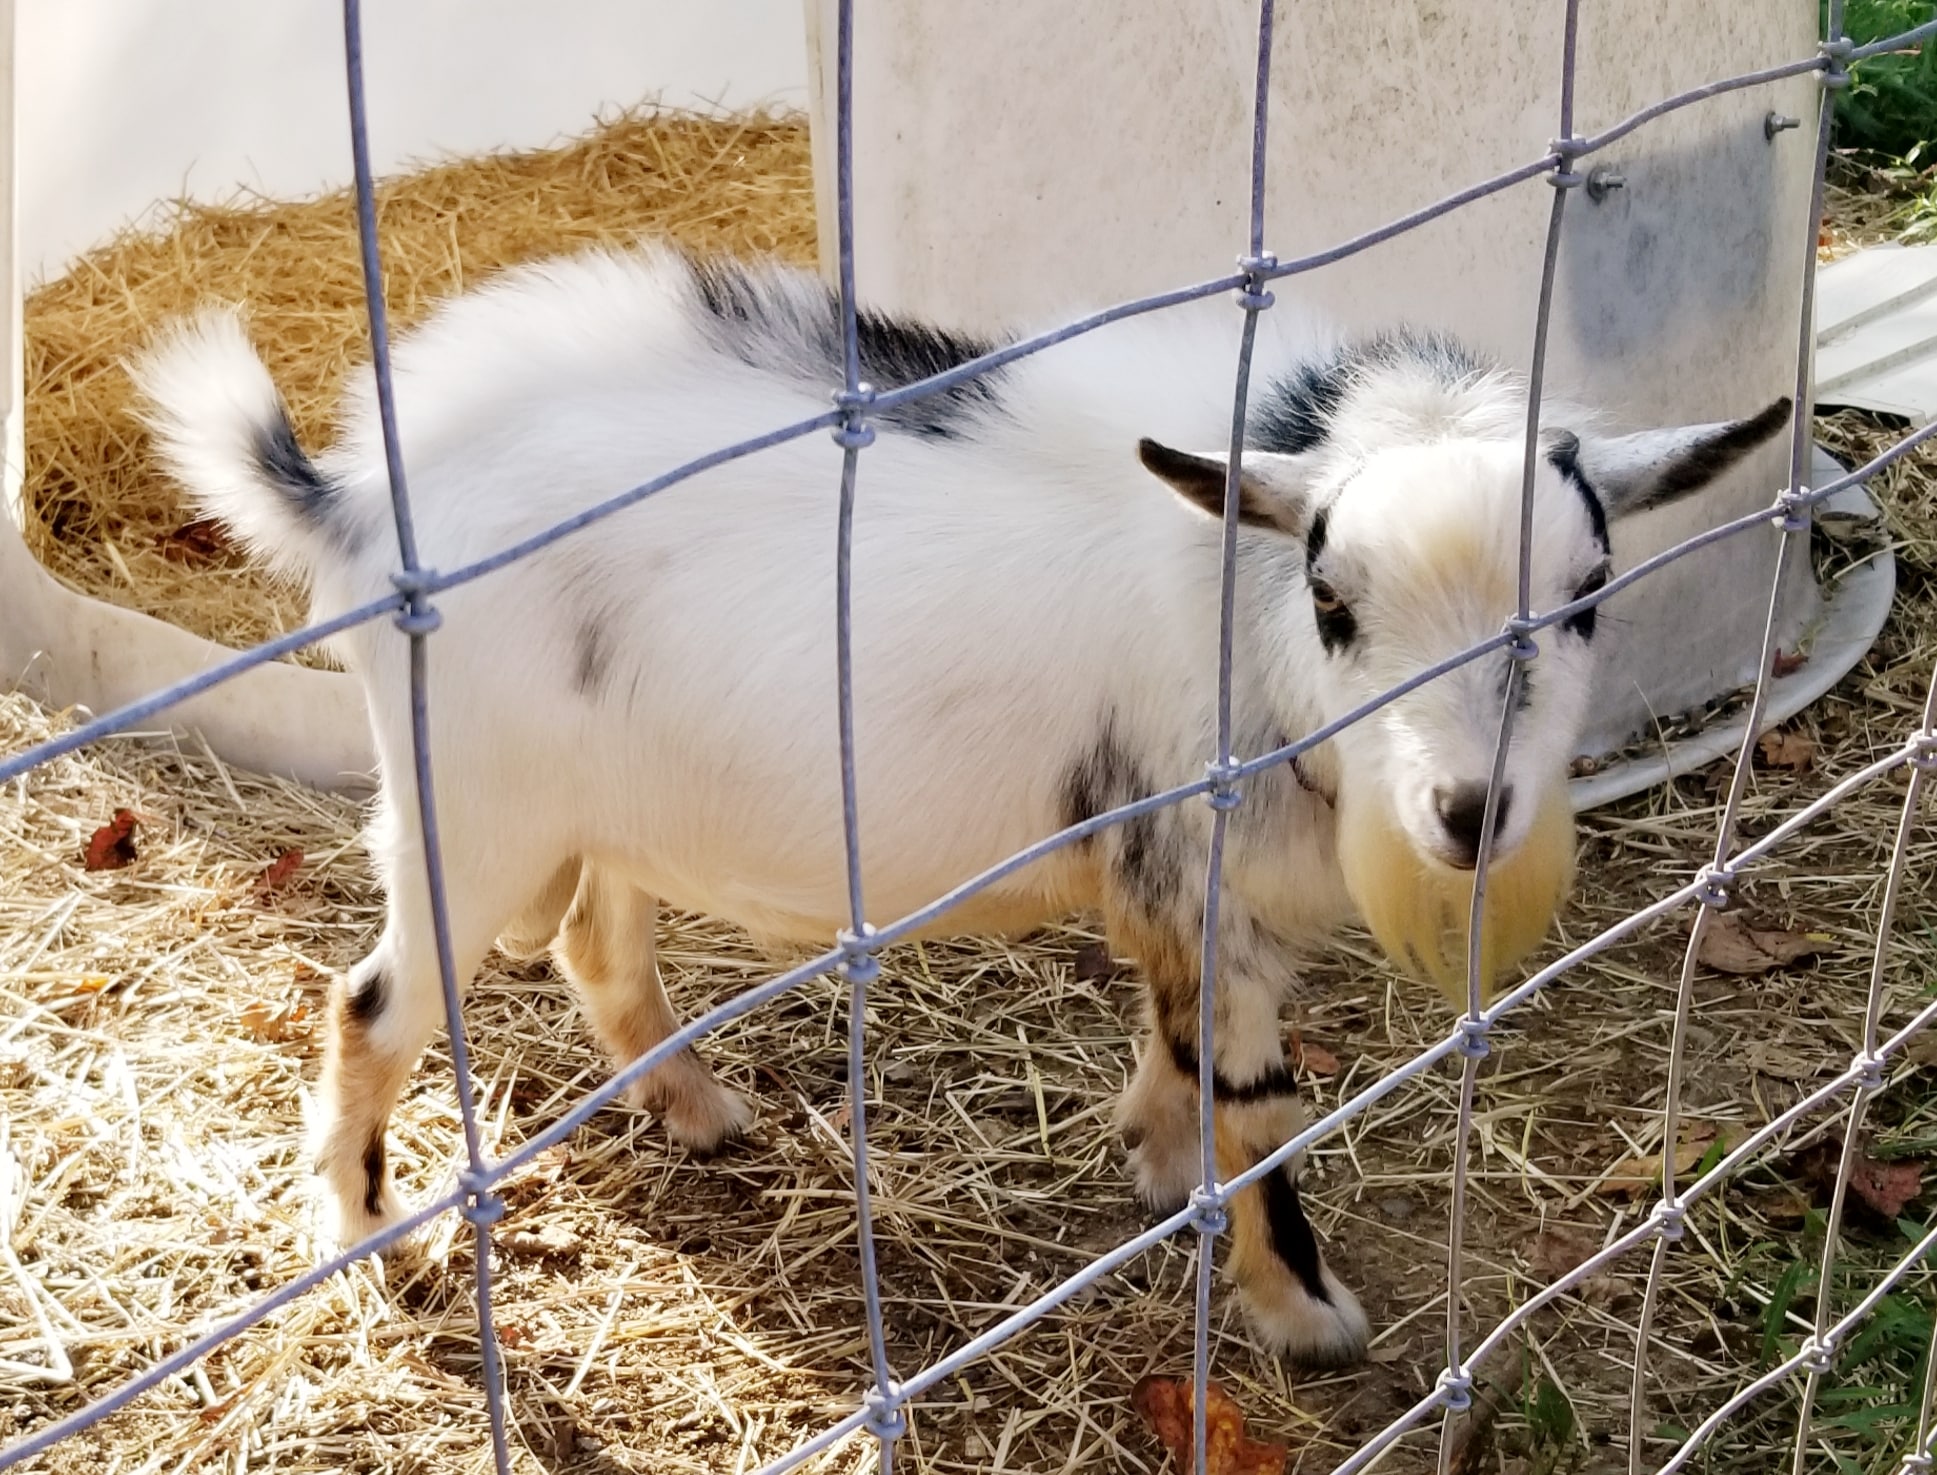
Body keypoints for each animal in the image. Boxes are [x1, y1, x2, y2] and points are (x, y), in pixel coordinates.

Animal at [135, 244, 1787, 1366]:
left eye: (1587, 591)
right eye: (1333, 600)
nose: (1468, 810)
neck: (1229, 594)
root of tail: (353, 501)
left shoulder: (1176, 881)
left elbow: (1176, 1047)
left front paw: (1152, 1151)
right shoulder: (1208, 875)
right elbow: (1256, 1103)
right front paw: (1300, 1306)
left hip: (591, 804)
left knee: (597, 943)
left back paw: (695, 1108)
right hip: (464, 818)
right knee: (370, 1004)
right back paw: (368, 1242)